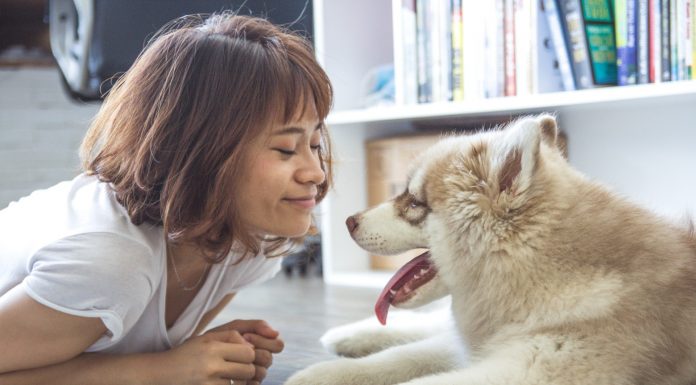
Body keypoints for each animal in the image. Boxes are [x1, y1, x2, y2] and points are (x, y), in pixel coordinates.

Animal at [282, 115, 696, 384]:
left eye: (414, 202)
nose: (348, 221)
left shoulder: (525, 366)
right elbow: (402, 356)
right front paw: (325, 373)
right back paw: (349, 335)